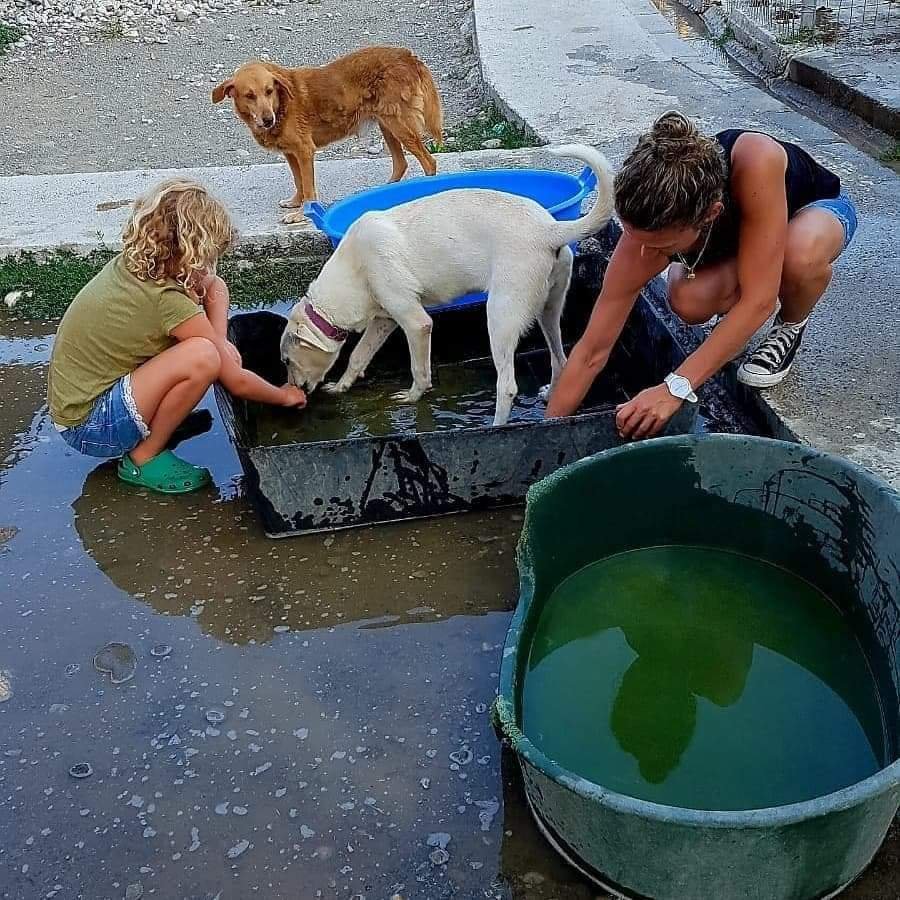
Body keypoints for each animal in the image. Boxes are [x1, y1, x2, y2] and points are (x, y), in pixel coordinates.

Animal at [212, 46, 443, 224]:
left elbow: (308, 188)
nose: (268, 120)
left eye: (269, 91)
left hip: (398, 125)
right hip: (387, 125)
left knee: (429, 161)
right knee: (401, 163)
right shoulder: (291, 154)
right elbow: (299, 182)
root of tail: (407, 55)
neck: (281, 105)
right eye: (250, 95)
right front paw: (295, 203)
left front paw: (300, 215)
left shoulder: (305, 151)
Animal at [279, 145, 614, 426]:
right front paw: (341, 386)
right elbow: (358, 355)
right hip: (549, 308)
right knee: (560, 359)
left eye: (286, 360)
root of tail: (549, 228)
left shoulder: (415, 323)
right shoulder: (385, 319)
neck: (352, 268)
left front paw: (413, 397)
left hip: (501, 316)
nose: (296, 392)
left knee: (507, 385)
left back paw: (495, 427)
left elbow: (419, 369)